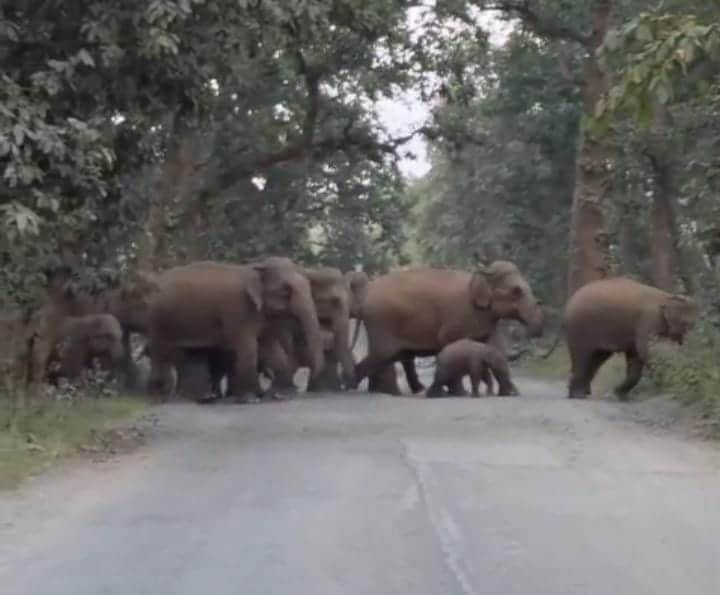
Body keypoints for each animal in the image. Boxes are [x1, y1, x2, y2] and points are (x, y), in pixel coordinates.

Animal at [145, 258, 325, 402]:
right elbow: (248, 348)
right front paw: (250, 399)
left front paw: (279, 395)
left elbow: (270, 348)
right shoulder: (238, 310)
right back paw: (159, 397)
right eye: (286, 290)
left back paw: (200, 397)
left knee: (192, 354)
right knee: (160, 351)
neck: (256, 266)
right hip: (158, 318)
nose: (304, 388)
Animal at [350, 261, 543, 392]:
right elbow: (449, 341)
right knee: (383, 354)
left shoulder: (488, 319)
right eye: (516, 291)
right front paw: (460, 391)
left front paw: (511, 392)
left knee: (395, 355)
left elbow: (496, 349)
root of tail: (367, 292)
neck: (478, 277)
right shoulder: (457, 317)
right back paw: (350, 386)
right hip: (382, 321)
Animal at [546, 277, 698, 400]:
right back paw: (577, 395)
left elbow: (635, 357)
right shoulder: (648, 321)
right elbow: (646, 351)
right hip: (580, 327)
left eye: (693, 324)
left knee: (596, 358)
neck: (667, 296)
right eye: (686, 324)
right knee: (582, 356)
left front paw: (619, 395)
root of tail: (567, 307)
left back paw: (582, 392)